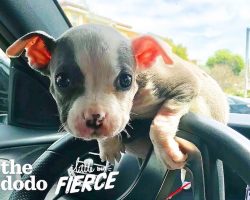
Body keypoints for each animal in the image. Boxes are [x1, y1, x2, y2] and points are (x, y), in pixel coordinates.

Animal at [5, 24, 229, 170]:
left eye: (126, 80)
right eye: (62, 80)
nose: (94, 118)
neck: (136, 102)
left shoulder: (186, 84)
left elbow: (159, 123)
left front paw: (167, 152)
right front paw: (109, 145)